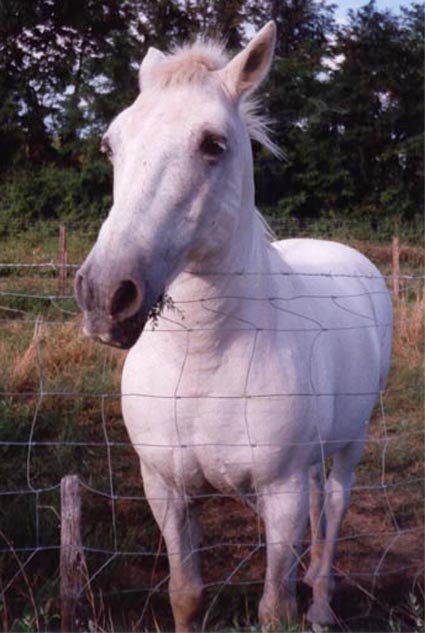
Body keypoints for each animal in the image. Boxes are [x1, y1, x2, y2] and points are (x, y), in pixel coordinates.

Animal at [75, 22, 390, 628]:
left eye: (212, 144)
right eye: (110, 145)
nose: (105, 295)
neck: (204, 359)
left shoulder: (280, 494)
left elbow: (274, 606)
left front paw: (300, 604)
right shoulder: (165, 490)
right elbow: (185, 592)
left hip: (351, 444)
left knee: (335, 507)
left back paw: (321, 604)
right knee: (321, 504)